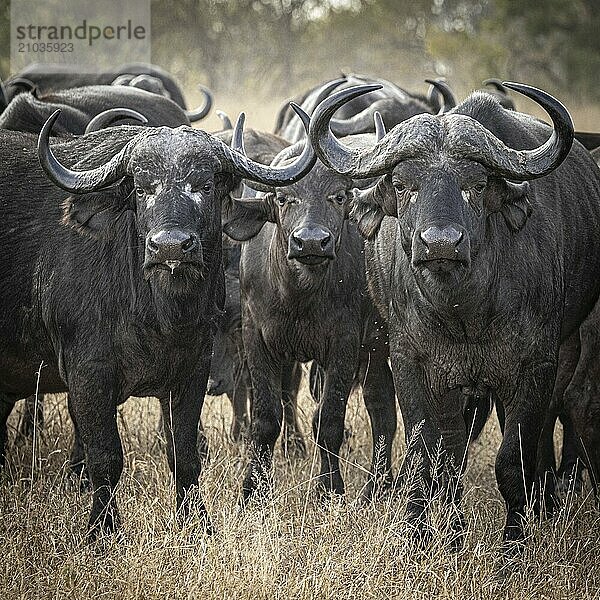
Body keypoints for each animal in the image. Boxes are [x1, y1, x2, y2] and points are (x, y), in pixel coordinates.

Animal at [0, 103, 316, 540]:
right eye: (142, 188)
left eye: (204, 185)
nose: (170, 247)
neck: (158, 315)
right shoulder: (87, 373)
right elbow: (105, 457)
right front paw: (102, 530)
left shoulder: (193, 368)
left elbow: (184, 453)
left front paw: (197, 523)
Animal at [223, 126, 396, 502]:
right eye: (284, 198)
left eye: (339, 197)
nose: (312, 241)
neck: (298, 297)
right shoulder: (256, 338)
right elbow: (266, 418)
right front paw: (253, 489)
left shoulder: (345, 344)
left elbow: (329, 419)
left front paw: (330, 489)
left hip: (375, 346)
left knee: (381, 408)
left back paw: (377, 486)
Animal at [312, 81, 600, 548]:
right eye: (403, 184)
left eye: (477, 184)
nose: (441, 244)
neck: (464, 311)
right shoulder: (410, 362)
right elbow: (427, 454)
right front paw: (423, 536)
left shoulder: (536, 363)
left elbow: (512, 458)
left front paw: (515, 543)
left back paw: (546, 504)